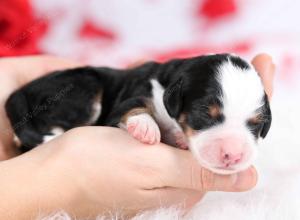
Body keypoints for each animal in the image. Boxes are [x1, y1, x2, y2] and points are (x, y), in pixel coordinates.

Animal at [4, 54, 272, 174]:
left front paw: (177, 137)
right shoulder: (129, 99)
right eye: (204, 113)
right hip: (84, 89)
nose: (233, 155)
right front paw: (145, 127)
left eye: (256, 125)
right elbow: (135, 107)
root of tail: (17, 94)